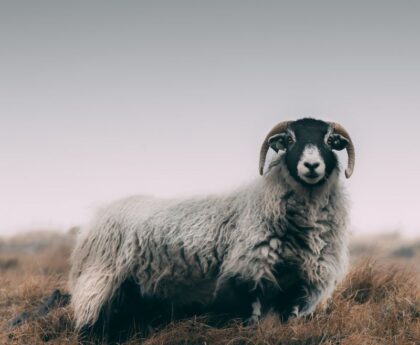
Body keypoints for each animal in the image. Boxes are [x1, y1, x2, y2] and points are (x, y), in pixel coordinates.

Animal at [69, 117, 354, 342]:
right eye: (290, 140)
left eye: (329, 141)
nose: (311, 166)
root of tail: (98, 218)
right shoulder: (249, 274)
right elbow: (252, 320)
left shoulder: (300, 284)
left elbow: (290, 322)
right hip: (99, 281)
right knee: (90, 323)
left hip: (132, 291)